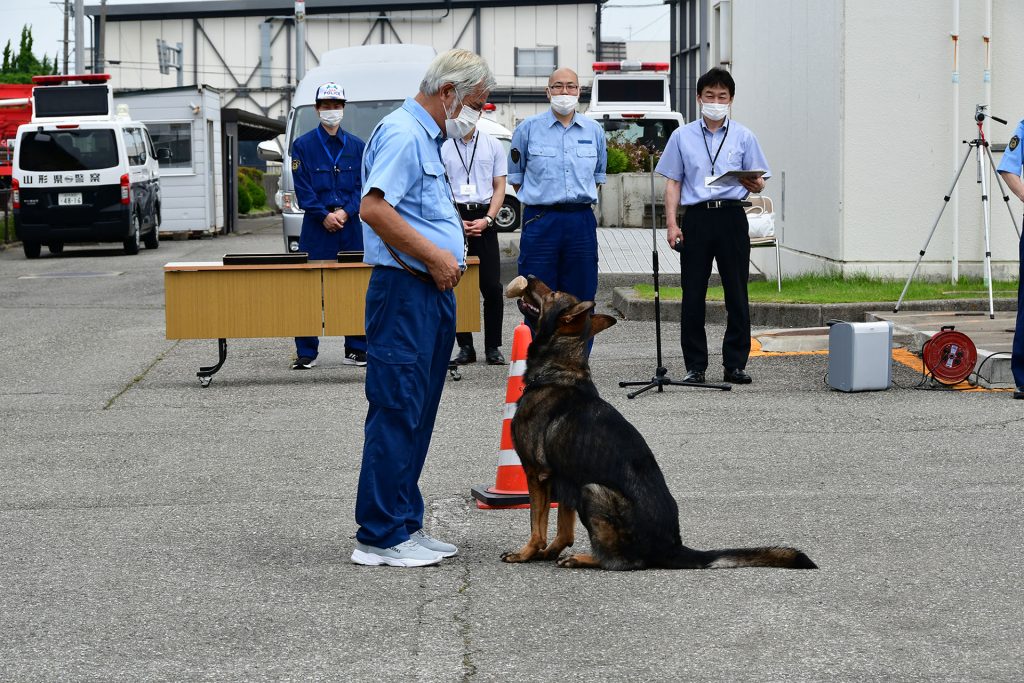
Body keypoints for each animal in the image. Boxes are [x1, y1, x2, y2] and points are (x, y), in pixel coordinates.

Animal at [501, 276, 815, 573]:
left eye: (553, 293)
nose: (529, 276)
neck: (558, 370)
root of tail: (673, 547)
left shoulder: (537, 473)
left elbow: (537, 525)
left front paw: (526, 553)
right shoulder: (565, 477)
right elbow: (563, 531)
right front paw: (548, 552)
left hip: (592, 490)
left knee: (625, 561)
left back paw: (585, 558)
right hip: (582, 489)